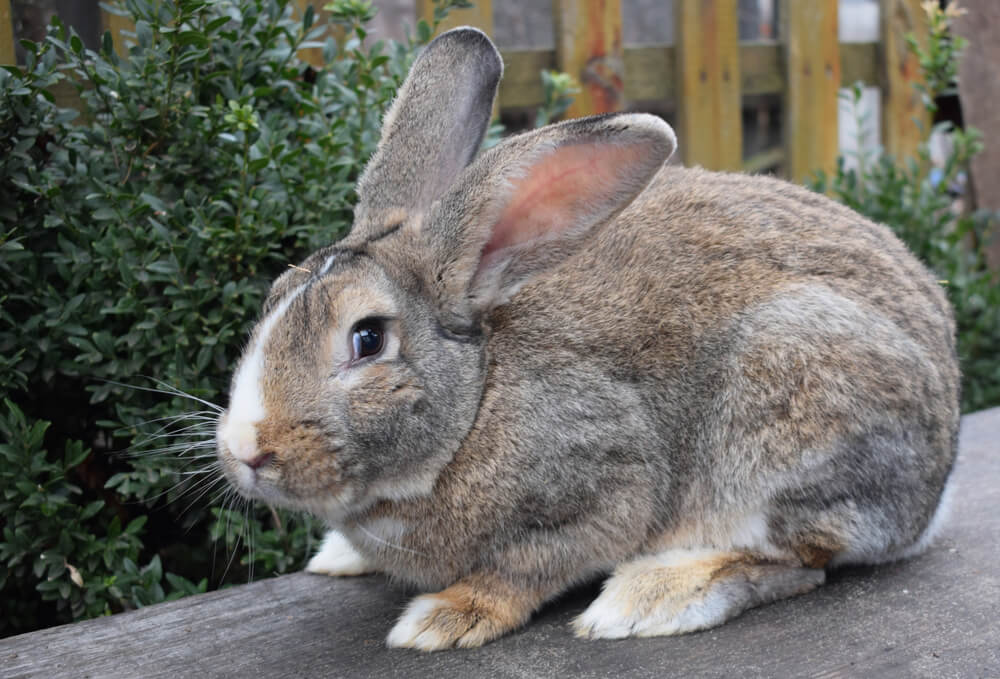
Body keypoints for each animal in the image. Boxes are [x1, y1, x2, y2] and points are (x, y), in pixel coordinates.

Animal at [213, 27, 960, 652]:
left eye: (367, 338)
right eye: (274, 296)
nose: (246, 449)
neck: (477, 401)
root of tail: (933, 489)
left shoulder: (606, 484)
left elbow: (528, 567)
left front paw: (444, 617)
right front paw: (342, 556)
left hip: (781, 413)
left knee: (798, 560)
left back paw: (651, 598)